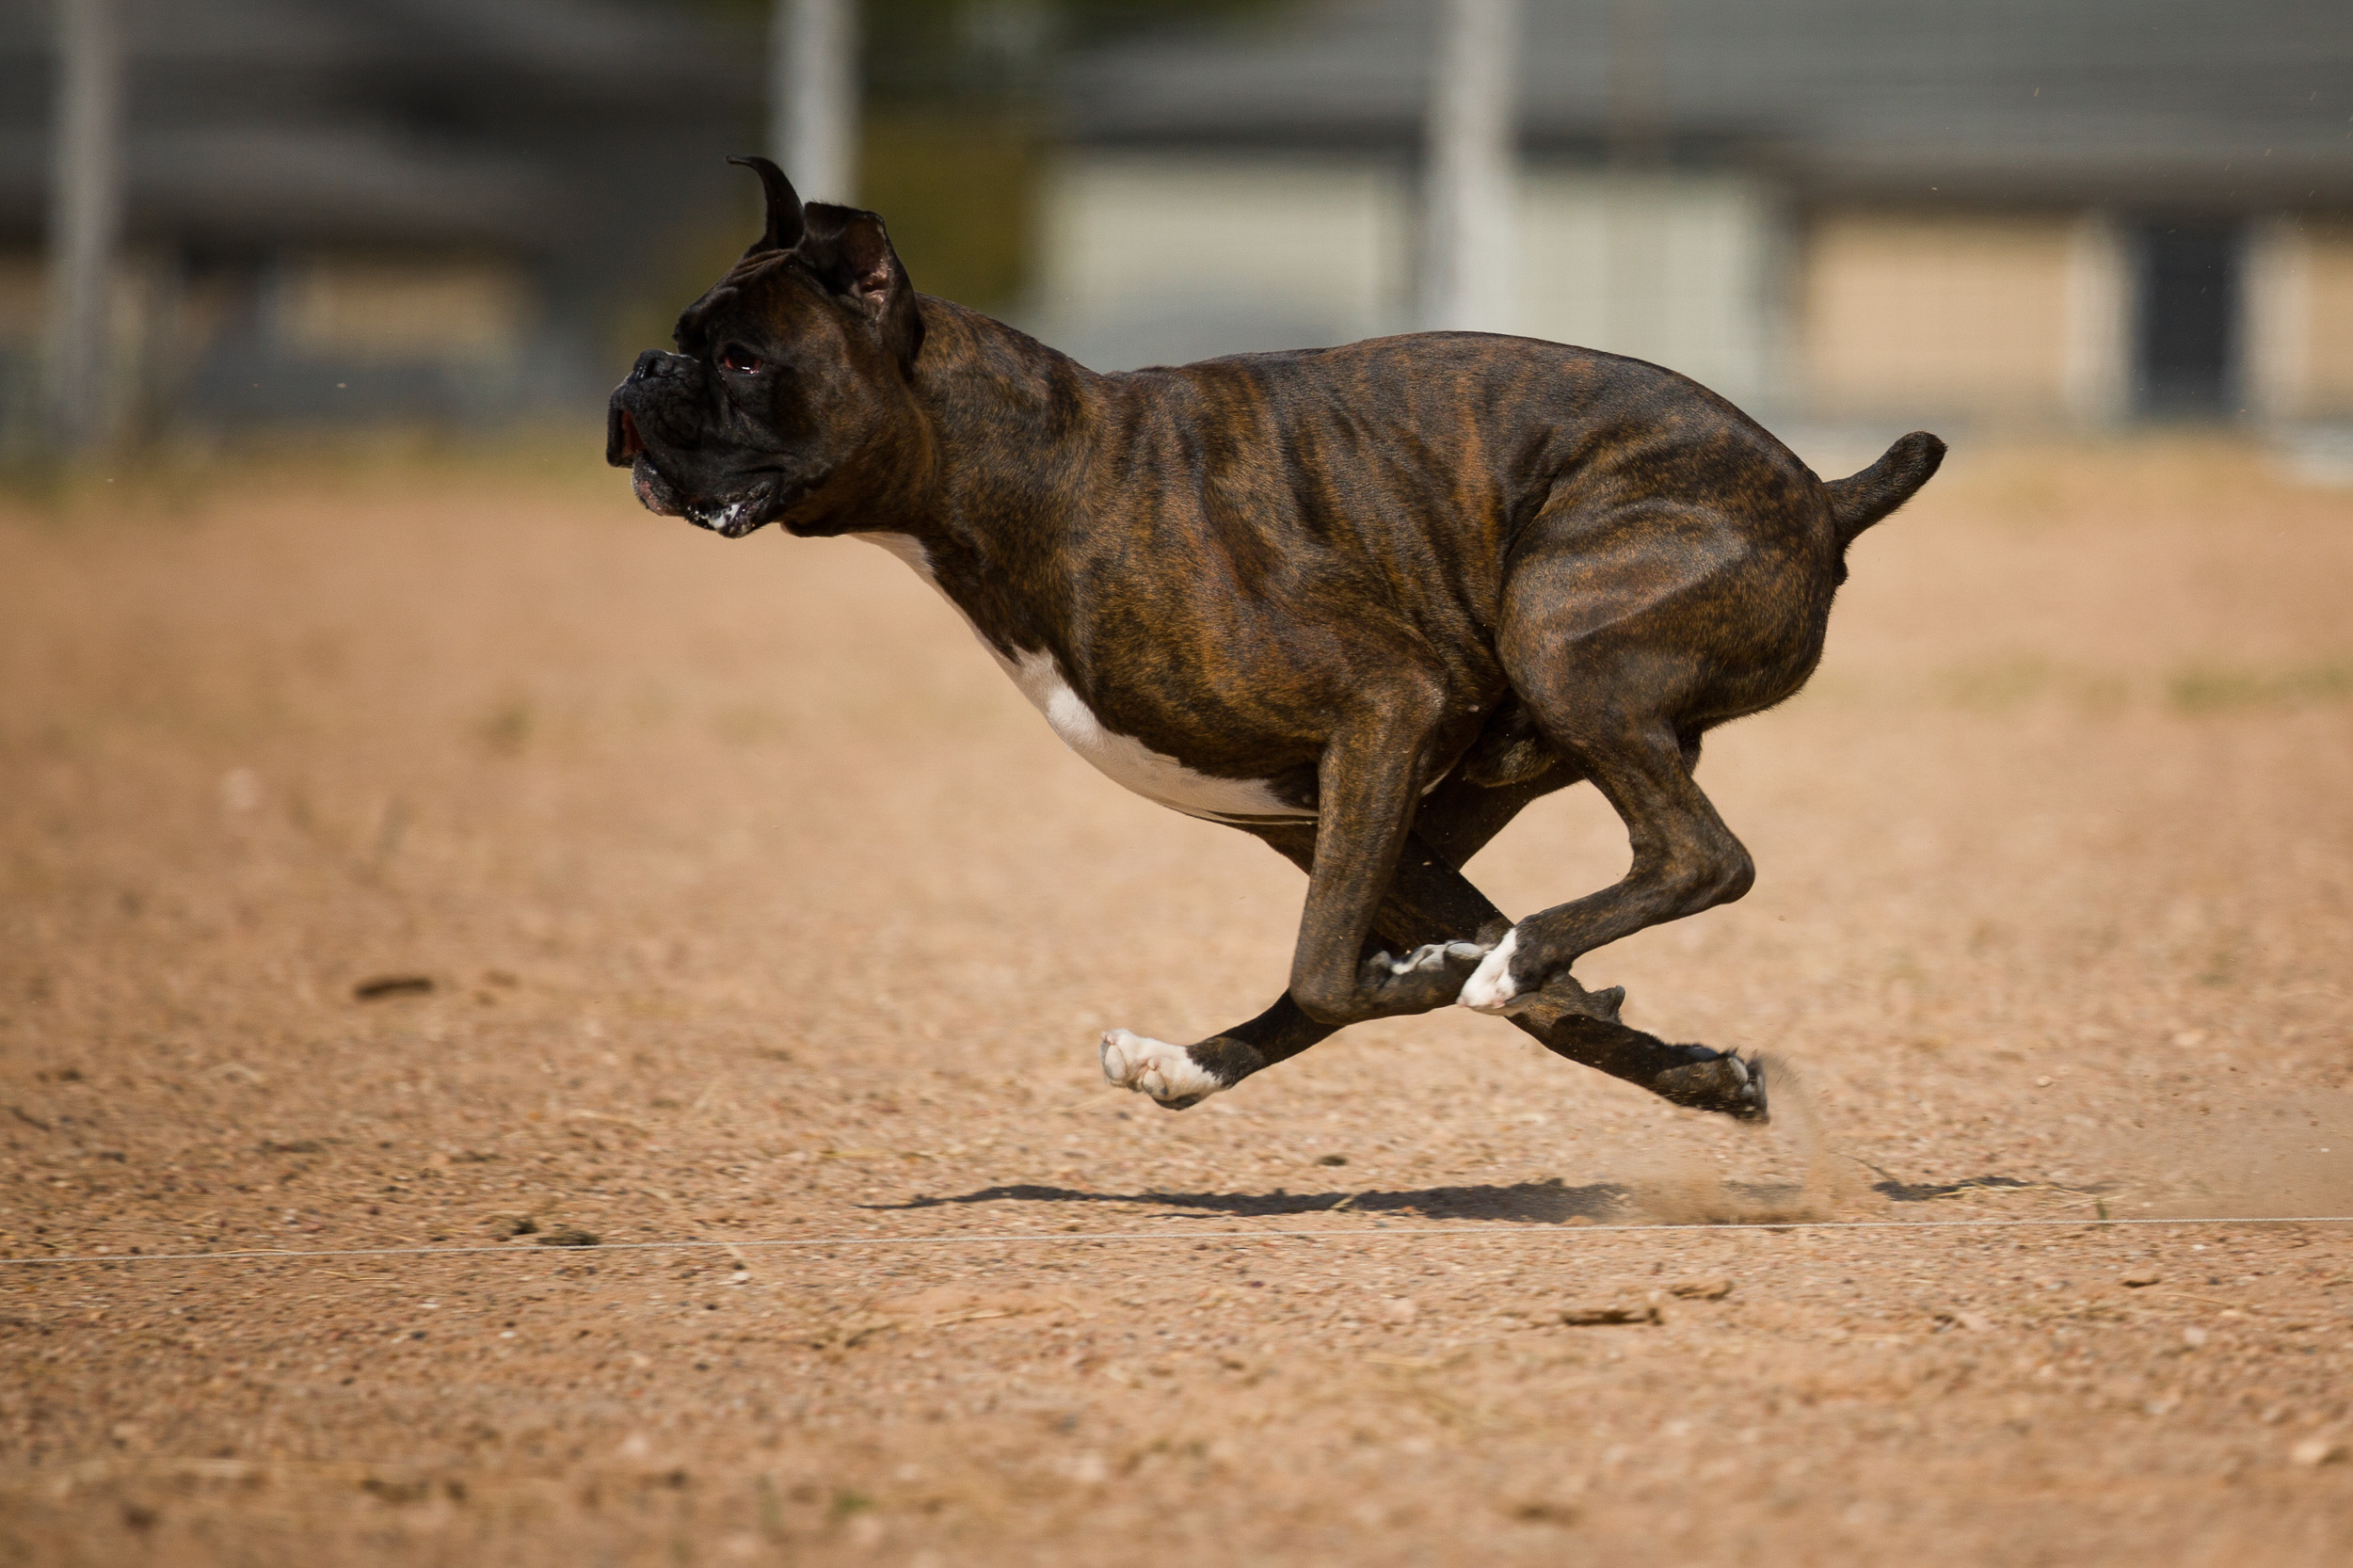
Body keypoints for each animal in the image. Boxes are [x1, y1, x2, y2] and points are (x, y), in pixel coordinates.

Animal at [607, 157, 1944, 1123]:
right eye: (686, 337)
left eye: (742, 357)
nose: (640, 371)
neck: (1043, 470)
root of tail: (1817, 493)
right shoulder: (1316, 812)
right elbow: (1412, 970)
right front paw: (1692, 1069)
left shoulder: (1386, 708)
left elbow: (1332, 970)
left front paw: (1459, 975)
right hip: (1475, 771)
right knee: (1543, 916)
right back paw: (1215, 1053)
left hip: (1564, 652)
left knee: (1699, 857)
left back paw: (1486, 965)